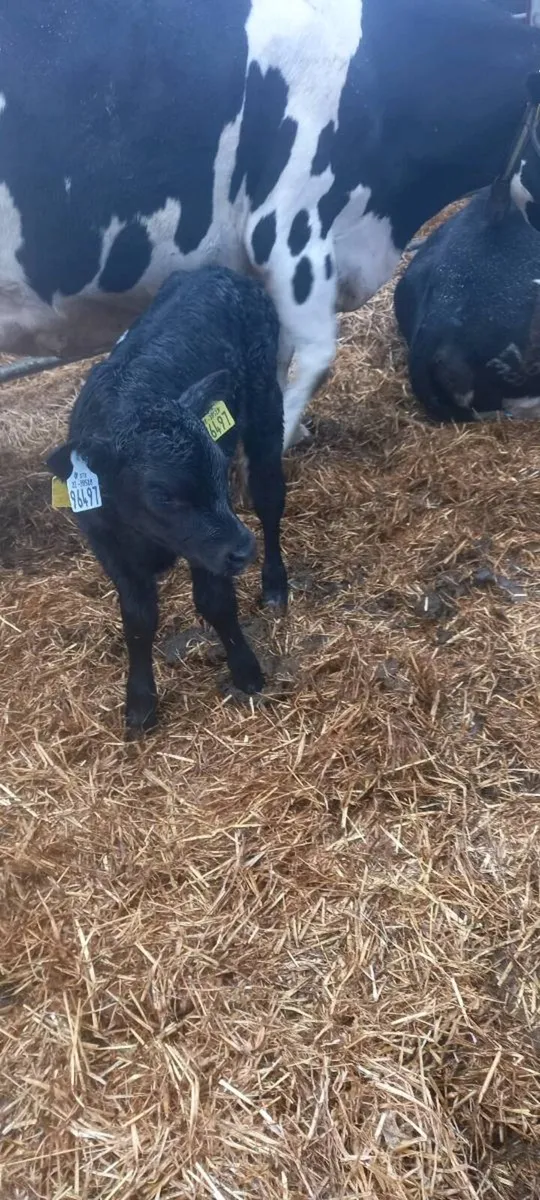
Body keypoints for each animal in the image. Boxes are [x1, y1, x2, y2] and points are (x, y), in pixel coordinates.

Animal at [46, 266, 288, 734]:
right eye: (161, 494)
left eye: (218, 466)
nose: (242, 550)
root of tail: (216, 270)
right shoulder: (110, 547)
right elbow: (138, 619)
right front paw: (140, 704)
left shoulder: (206, 544)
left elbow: (215, 602)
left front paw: (246, 670)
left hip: (268, 405)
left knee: (270, 499)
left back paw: (274, 583)